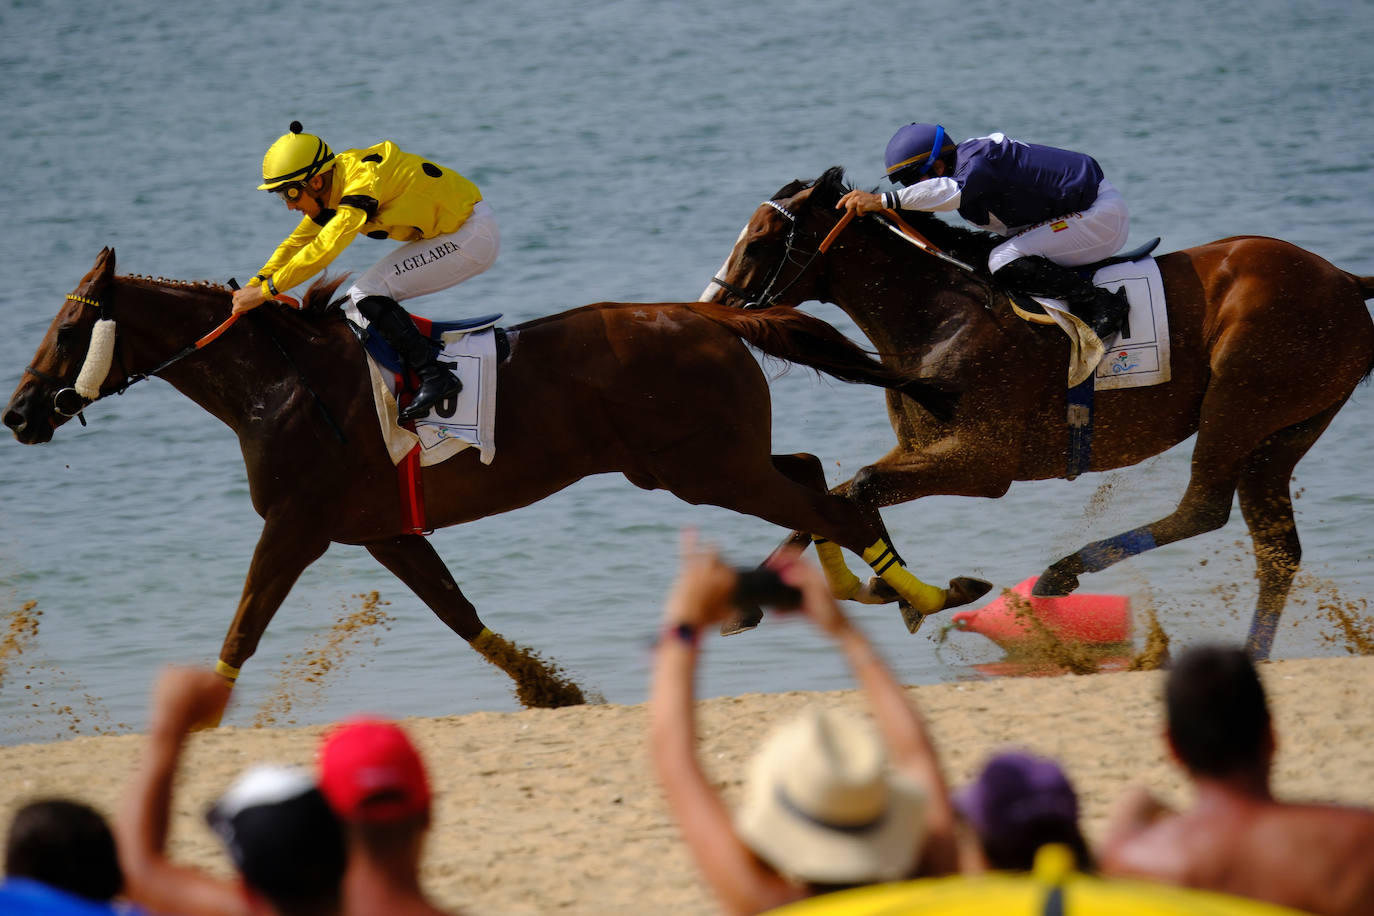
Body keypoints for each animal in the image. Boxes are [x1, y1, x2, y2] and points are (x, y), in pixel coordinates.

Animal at [5, 247, 983, 708]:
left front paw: (201, 713)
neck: (274, 383)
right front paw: (548, 689)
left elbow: (244, 625)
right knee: (818, 479)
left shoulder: (296, 526)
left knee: (828, 499)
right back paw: (853, 588)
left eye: (67, 329)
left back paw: (924, 594)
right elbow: (456, 611)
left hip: (700, 467)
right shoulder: (381, 529)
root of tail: (710, 316)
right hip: (696, 462)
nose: (16, 415)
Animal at [703, 168, 1374, 659]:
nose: (713, 305)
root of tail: (1343, 277)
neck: (936, 315)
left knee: (1205, 508)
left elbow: (859, 487)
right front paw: (760, 600)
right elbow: (836, 499)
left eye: (759, 241)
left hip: (1241, 401)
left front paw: (913, 595)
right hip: (1283, 430)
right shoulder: (921, 448)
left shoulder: (982, 463)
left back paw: (1060, 574)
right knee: (1277, 550)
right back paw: (1253, 656)